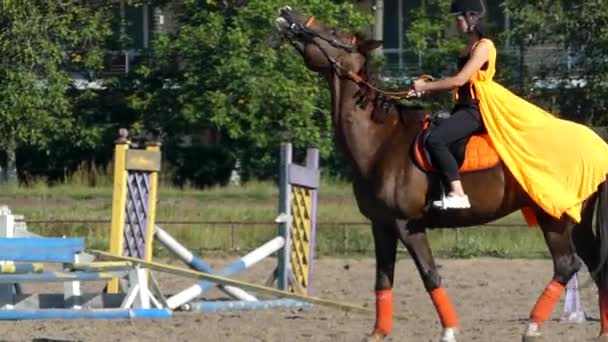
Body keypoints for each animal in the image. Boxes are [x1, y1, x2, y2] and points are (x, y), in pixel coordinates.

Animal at [276, 6, 608, 342]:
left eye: (333, 33)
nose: (288, 13)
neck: (382, 142)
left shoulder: (407, 225)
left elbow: (430, 274)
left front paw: (449, 330)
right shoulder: (381, 225)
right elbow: (383, 279)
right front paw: (378, 333)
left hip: (553, 217)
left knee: (566, 265)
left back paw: (532, 326)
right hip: (577, 222)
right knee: (596, 265)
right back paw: (601, 331)